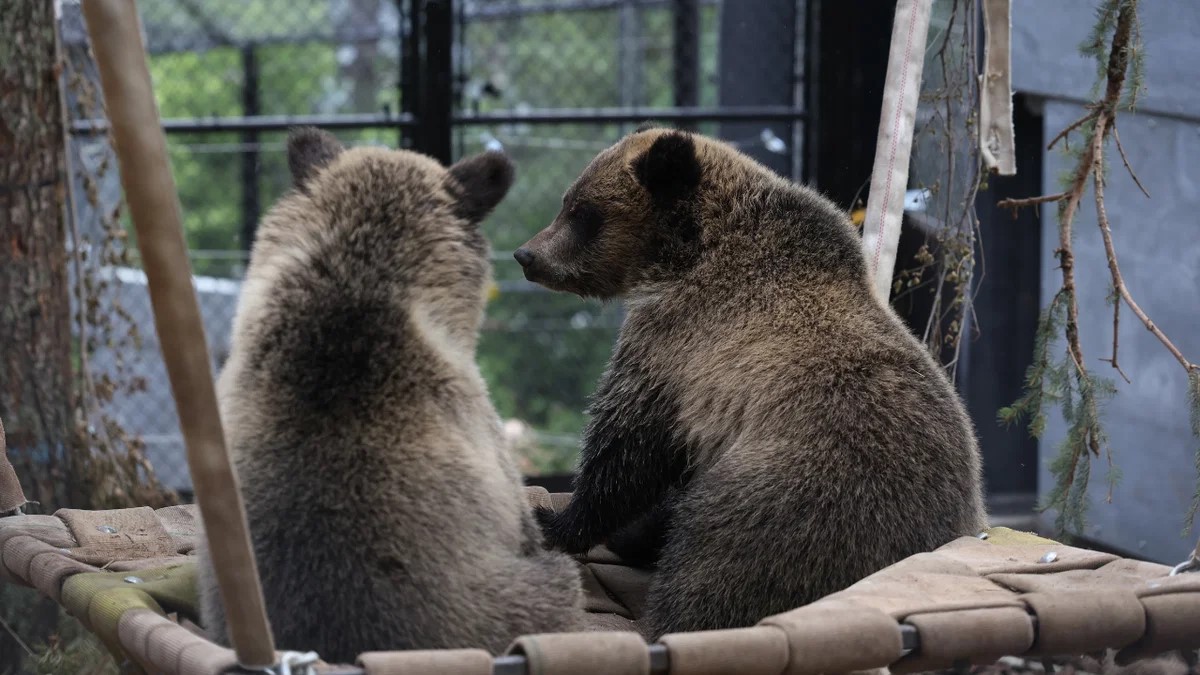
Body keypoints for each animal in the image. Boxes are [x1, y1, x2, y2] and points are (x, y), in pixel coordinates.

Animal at [512, 126, 987, 640]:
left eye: (583, 212)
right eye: (567, 202)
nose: (526, 255)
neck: (690, 253)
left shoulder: (678, 350)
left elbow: (626, 449)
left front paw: (558, 521)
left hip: (792, 505)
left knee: (710, 570)